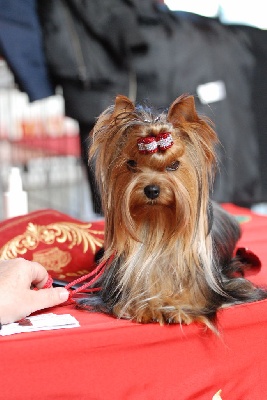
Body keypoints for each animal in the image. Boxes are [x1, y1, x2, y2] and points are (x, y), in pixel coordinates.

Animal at [80, 94, 267, 332]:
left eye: (174, 165)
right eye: (131, 163)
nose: (152, 190)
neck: (157, 227)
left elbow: (194, 299)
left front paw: (177, 308)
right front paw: (146, 306)